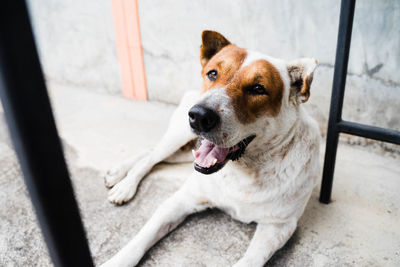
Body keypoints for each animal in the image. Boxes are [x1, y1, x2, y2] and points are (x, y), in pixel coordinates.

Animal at [101, 30, 320, 267]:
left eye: (258, 88)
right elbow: (142, 238)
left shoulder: (278, 226)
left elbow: (251, 260)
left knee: (152, 153)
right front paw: (118, 261)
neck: (244, 172)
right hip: (179, 135)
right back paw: (124, 183)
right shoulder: (181, 199)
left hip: (186, 153)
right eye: (213, 74)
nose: (199, 116)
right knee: (151, 157)